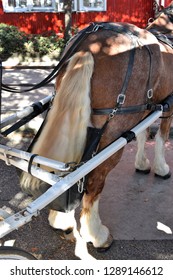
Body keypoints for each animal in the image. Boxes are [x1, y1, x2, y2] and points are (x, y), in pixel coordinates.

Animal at [19, 2, 173, 260]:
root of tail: (90, 45)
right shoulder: (166, 107)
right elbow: (161, 138)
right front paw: (161, 168)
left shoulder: (145, 109)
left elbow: (143, 136)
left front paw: (142, 164)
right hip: (113, 132)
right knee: (93, 179)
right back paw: (97, 235)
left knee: (69, 176)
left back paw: (61, 221)